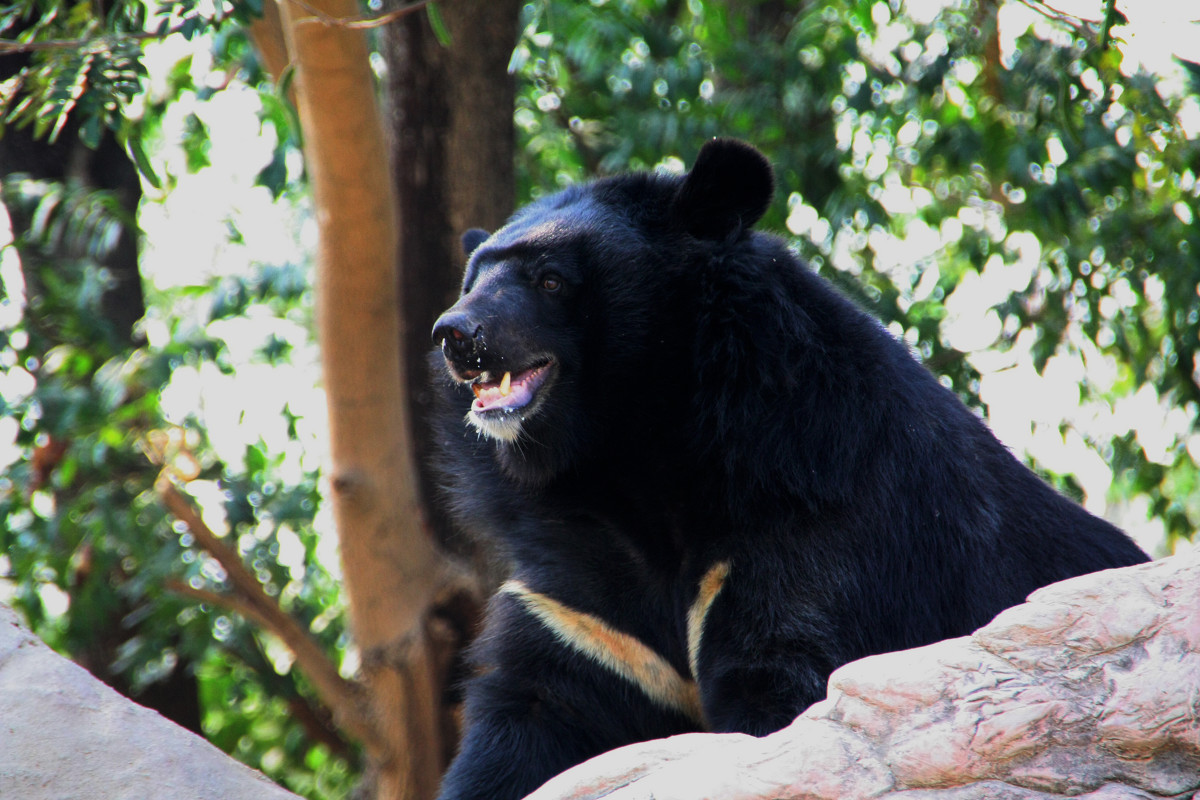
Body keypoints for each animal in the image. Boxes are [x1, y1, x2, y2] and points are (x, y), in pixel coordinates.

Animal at [427, 140, 1147, 800]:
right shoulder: (585, 613)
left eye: (549, 279)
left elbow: (782, 693)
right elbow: (530, 718)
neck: (631, 460)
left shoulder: (817, 532)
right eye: (472, 280)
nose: (456, 334)